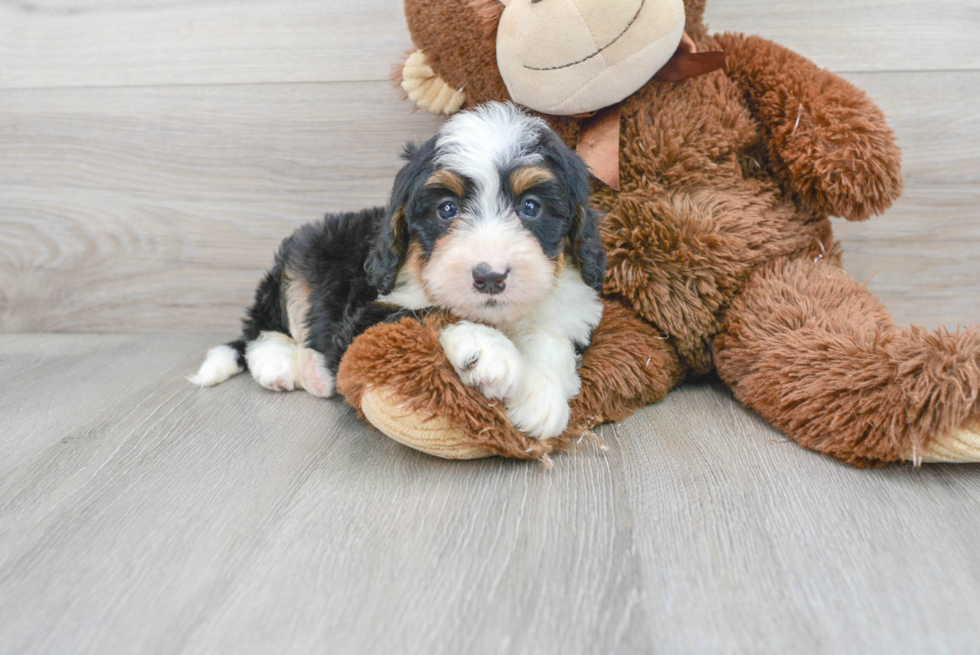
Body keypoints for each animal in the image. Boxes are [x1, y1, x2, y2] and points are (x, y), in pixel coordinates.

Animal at [190, 101, 604, 440]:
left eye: (531, 207)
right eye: (447, 210)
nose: (490, 277)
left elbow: (551, 336)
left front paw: (541, 395)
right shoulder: (361, 320)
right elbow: (427, 313)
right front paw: (488, 350)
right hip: (300, 258)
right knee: (263, 324)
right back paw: (283, 364)